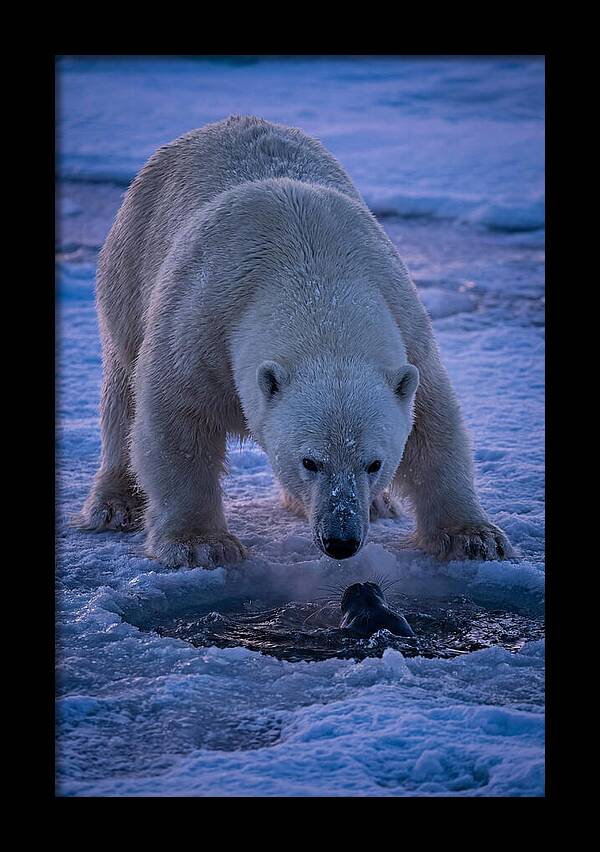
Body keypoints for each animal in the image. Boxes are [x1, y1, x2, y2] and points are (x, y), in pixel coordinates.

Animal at [78, 115, 513, 567]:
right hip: (130, 266)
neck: (313, 271)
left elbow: (433, 425)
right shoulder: (201, 322)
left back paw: (378, 505)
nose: (341, 540)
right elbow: (176, 421)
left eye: (374, 463)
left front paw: (475, 538)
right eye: (310, 461)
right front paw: (200, 544)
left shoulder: (407, 327)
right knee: (122, 389)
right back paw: (115, 504)